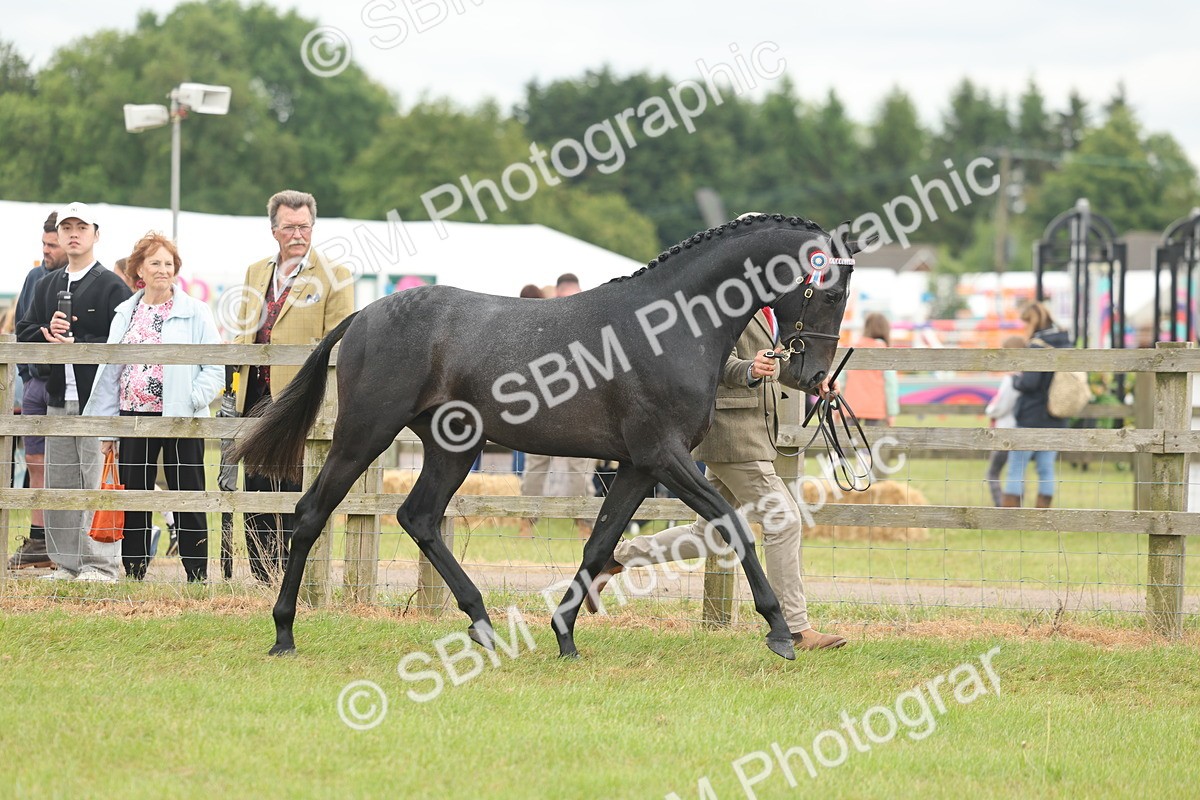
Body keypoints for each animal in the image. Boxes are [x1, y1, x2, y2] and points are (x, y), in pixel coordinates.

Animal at [232, 213, 866, 661]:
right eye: (831, 292)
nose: (810, 376)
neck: (670, 326)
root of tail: (363, 314)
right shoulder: (664, 455)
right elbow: (734, 525)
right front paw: (779, 631)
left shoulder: (637, 465)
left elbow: (600, 543)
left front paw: (565, 634)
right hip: (364, 434)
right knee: (312, 513)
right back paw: (284, 633)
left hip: (451, 448)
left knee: (419, 517)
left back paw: (483, 624)